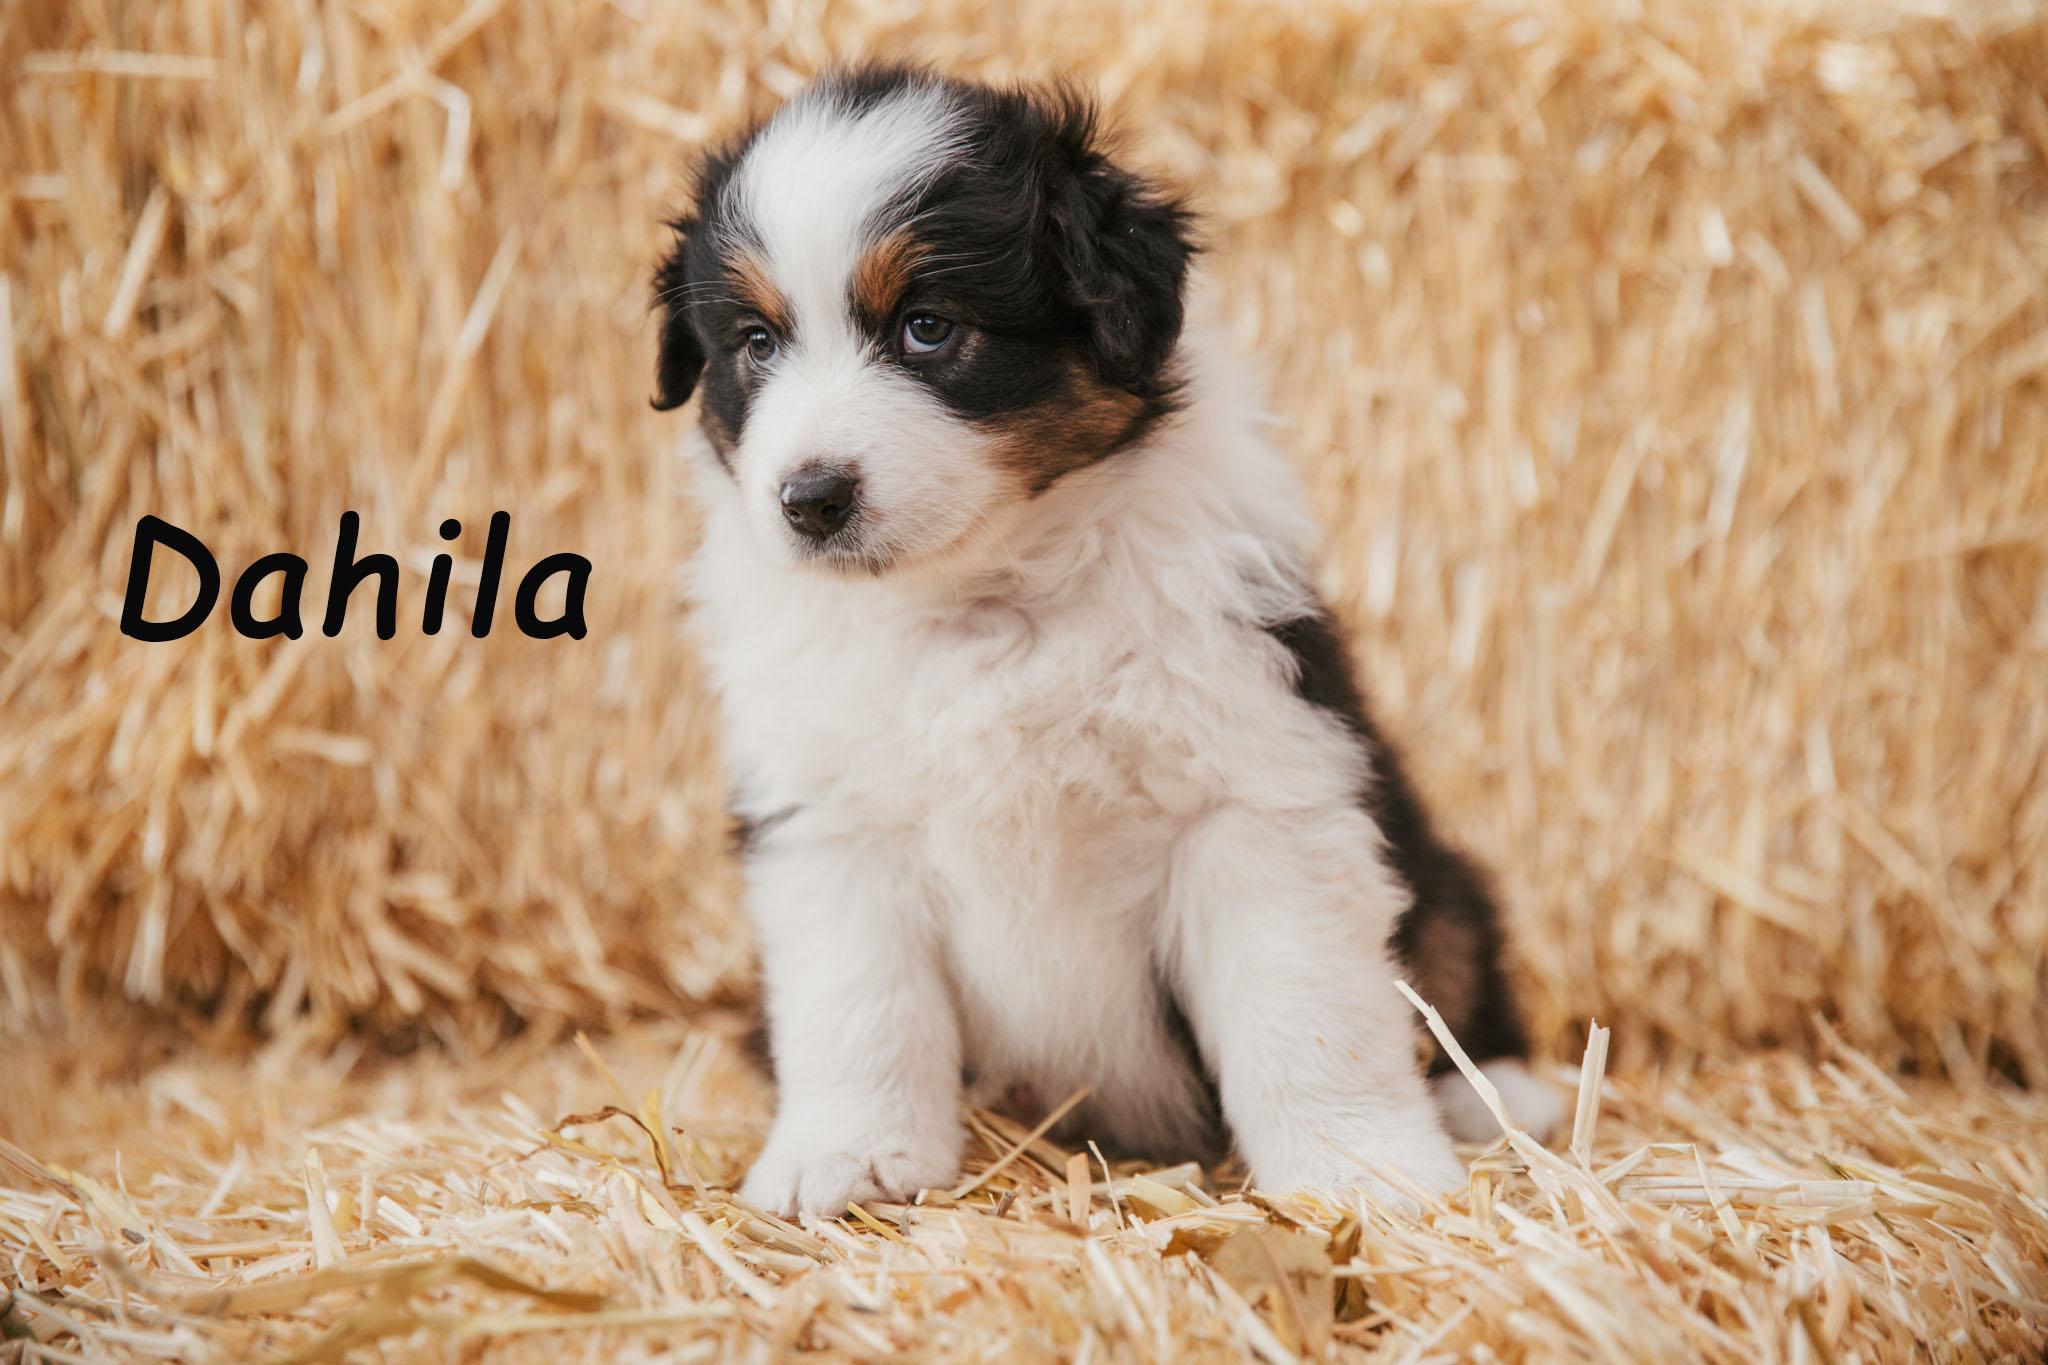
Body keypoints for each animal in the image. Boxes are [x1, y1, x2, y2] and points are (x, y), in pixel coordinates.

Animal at [652, 65, 1561, 1219]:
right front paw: (845, 1156)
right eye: (756, 344)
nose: (808, 499)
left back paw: (1499, 1094)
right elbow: (858, 1008)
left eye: (928, 327)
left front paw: (1362, 1171)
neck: (984, 603)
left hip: (1440, 877)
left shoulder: (1254, 791)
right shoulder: (828, 822)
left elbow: (1306, 1011)